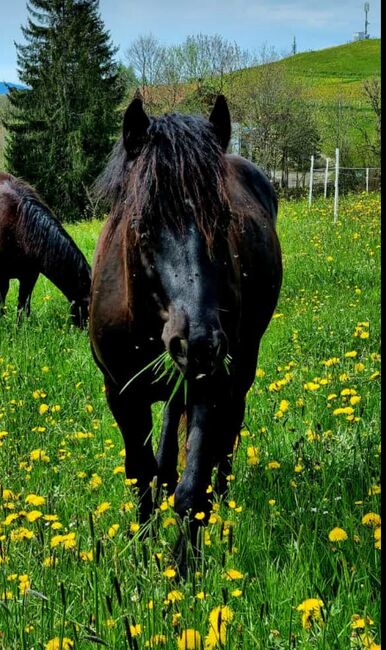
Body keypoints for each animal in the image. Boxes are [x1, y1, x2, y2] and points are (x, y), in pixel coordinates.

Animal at [91, 96, 284, 568]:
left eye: (224, 218)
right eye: (141, 222)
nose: (198, 342)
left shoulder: (210, 385)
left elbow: (193, 489)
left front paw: (183, 572)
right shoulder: (121, 393)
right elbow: (140, 474)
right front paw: (143, 552)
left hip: (240, 367)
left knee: (229, 435)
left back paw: (226, 502)